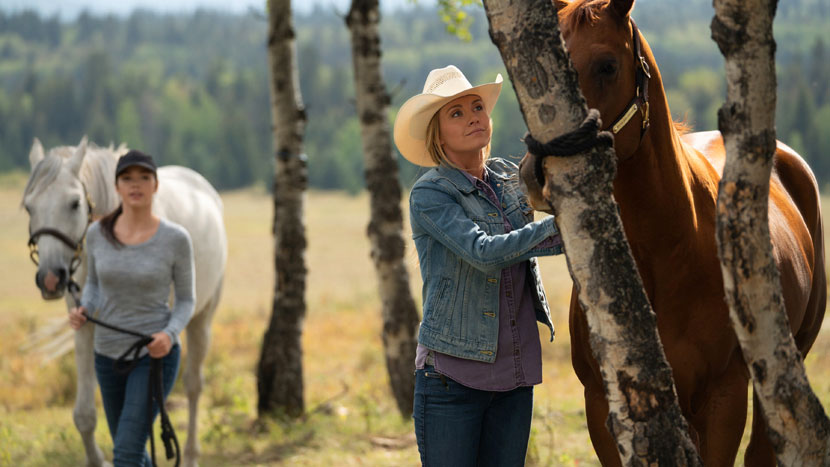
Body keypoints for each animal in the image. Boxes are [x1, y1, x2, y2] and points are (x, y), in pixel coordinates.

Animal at [22, 136, 227, 467]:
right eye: (29, 206)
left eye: (74, 203)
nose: (51, 278)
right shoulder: (84, 325)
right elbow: (85, 415)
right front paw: (97, 459)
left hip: (202, 317)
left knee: (194, 385)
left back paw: (191, 455)